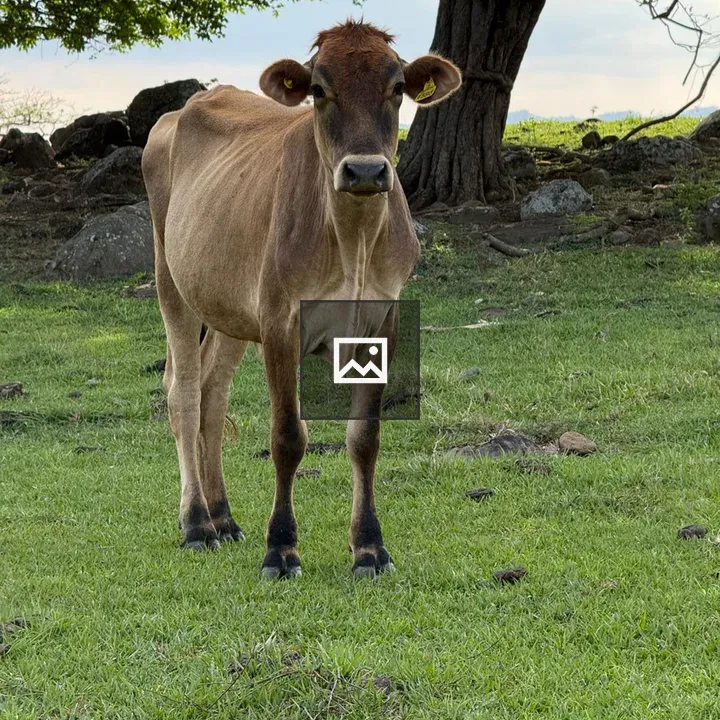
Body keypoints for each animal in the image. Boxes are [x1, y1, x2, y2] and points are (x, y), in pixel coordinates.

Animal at [142, 20, 461, 579]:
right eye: (318, 89)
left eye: (397, 87)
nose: (364, 171)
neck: (354, 240)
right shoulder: (279, 320)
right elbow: (288, 437)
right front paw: (282, 548)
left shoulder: (383, 320)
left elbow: (365, 437)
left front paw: (369, 547)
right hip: (171, 279)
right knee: (183, 393)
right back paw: (198, 524)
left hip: (229, 304)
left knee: (212, 392)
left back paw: (224, 517)